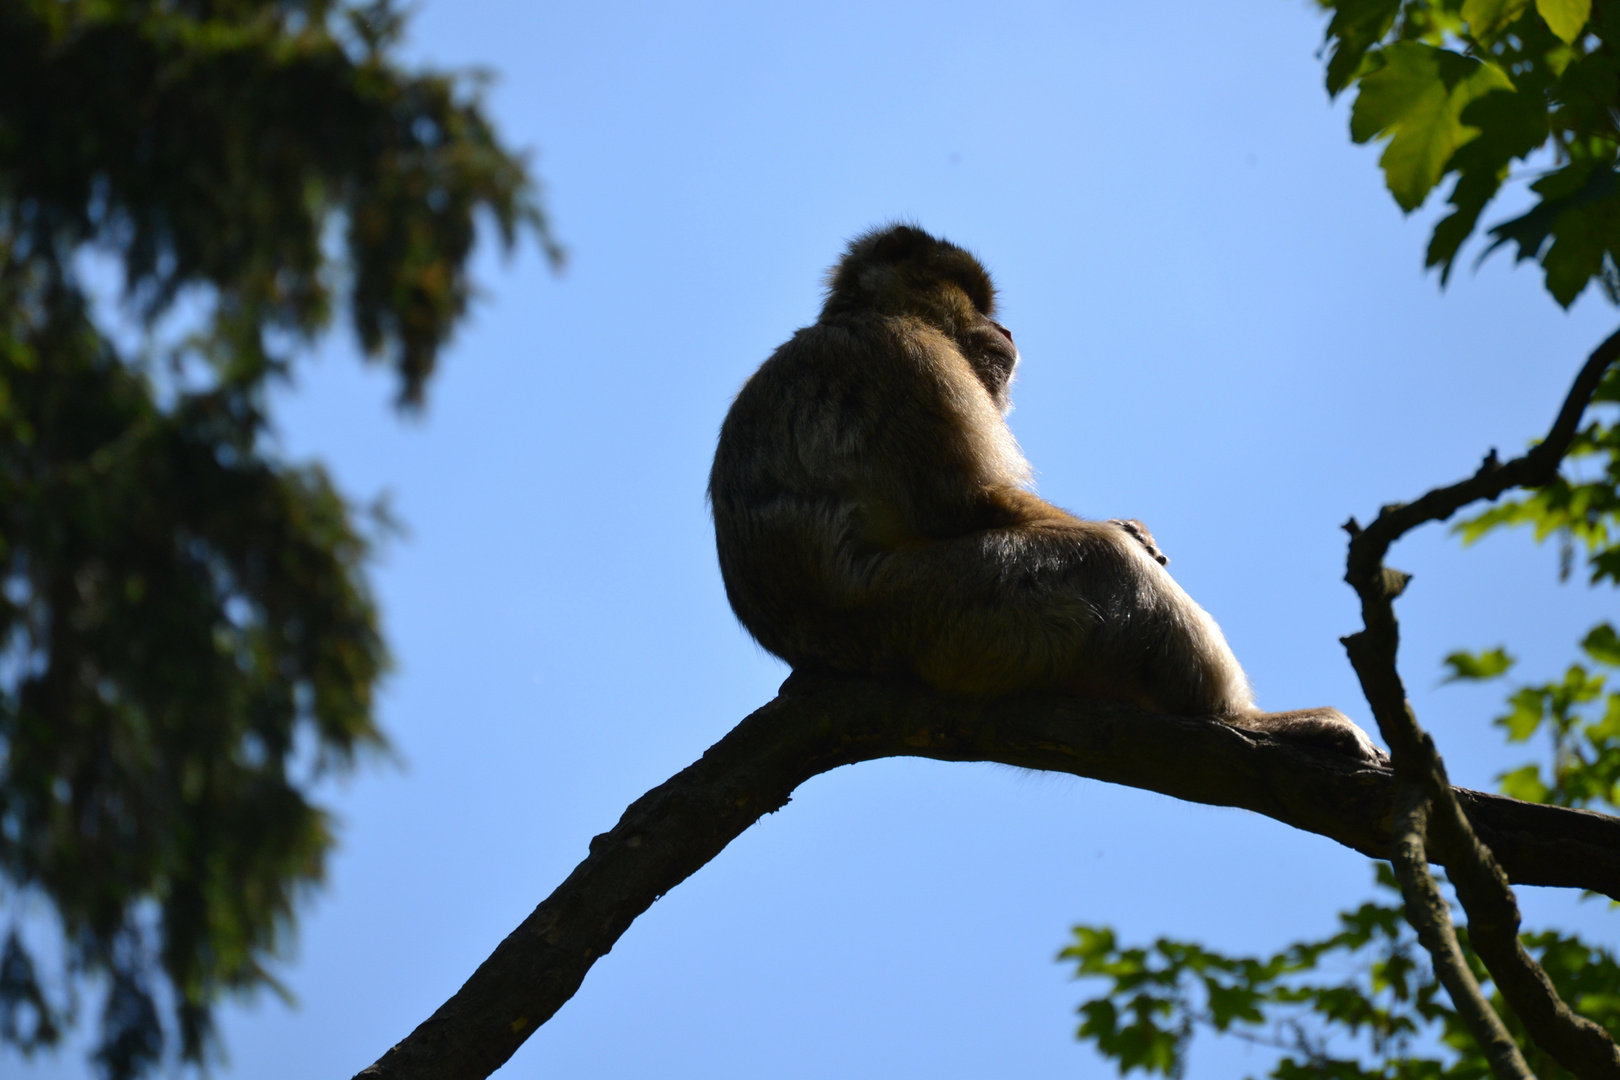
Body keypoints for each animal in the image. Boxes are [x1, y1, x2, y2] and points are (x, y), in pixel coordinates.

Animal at [706, 221, 1380, 761]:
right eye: (973, 299)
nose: (1004, 326)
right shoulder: (906, 354)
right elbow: (972, 503)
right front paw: (1127, 533)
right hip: (933, 613)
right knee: (1102, 563)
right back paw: (1242, 720)